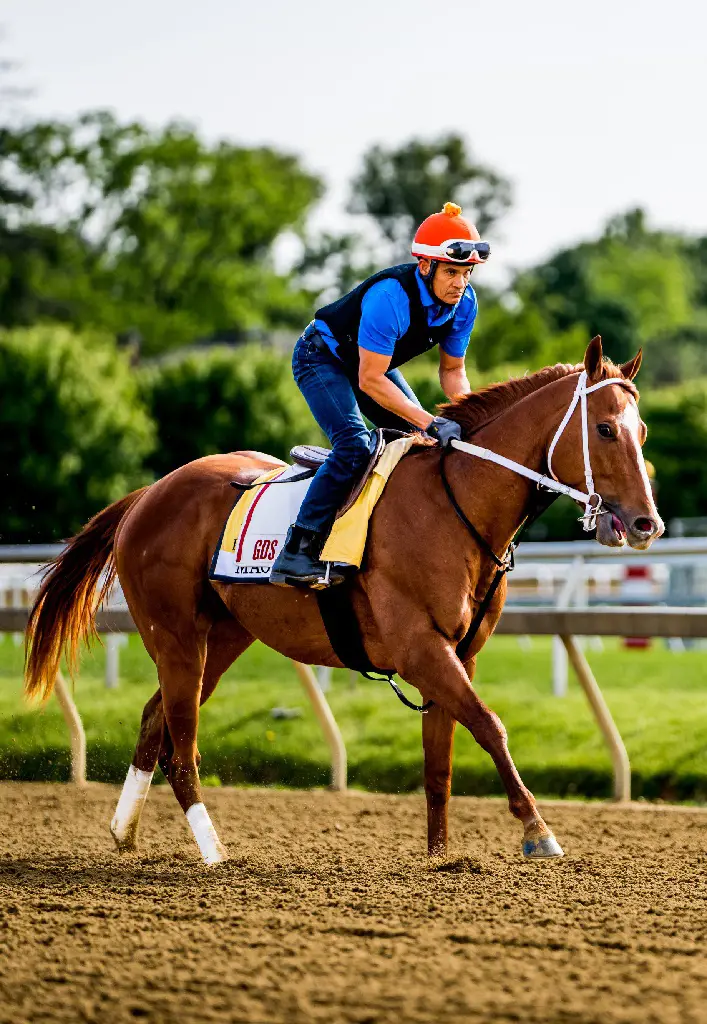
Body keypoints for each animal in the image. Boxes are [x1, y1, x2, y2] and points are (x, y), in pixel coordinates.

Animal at [23, 339, 659, 868]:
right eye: (605, 429)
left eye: (644, 431)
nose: (646, 523)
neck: (457, 504)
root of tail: (147, 495)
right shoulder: (419, 648)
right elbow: (490, 725)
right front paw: (537, 831)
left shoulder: (459, 653)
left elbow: (441, 759)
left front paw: (440, 857)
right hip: (176, 636)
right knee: (182, 745)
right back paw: (213, 851)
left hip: (222, 637)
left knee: (156, 718)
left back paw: (123, 831)